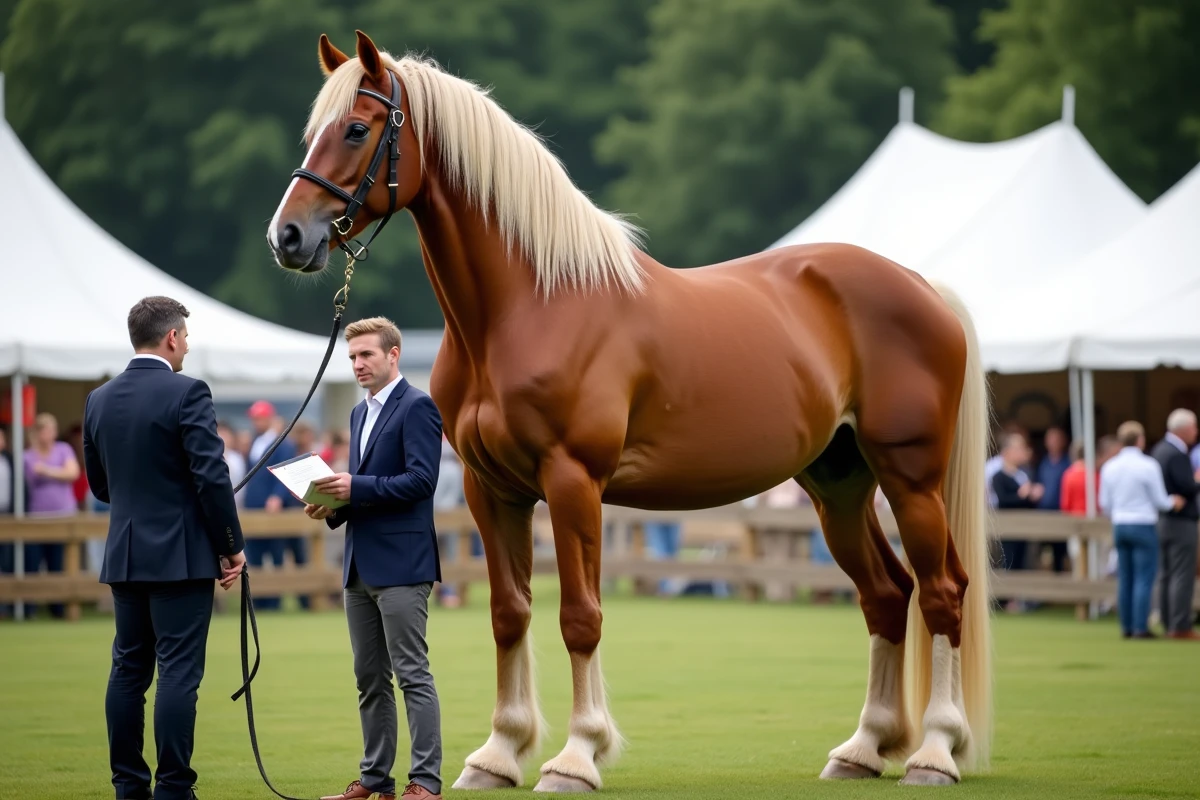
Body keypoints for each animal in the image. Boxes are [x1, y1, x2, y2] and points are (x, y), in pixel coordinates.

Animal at [266, 30, 994, 792]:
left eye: (357, 129)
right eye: (315, 131)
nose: (287, 236)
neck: (530, 305)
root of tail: (920, 286)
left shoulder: (572, 482)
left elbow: (580, 618)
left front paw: (576, 757)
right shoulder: (492, 490)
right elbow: (509, 614)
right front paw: (498, 754)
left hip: (911, 480)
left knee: (942, 592)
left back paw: (935, 751)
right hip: (839, 486)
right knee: (886, 594)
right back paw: (863, 748)